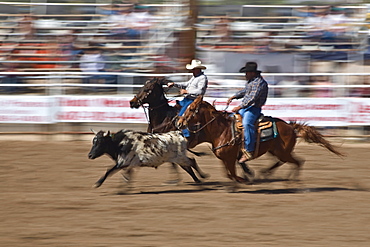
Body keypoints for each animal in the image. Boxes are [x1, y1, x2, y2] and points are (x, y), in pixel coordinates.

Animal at [176, 96, 344, 183]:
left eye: (191, 109)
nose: (179, 123)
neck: (222, 131)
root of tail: (291, 127)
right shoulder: (228, 159)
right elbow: (231, 173)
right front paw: (246, 177)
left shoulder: (230, 158)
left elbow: (233, 173)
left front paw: (245, 179)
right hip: (276, 151)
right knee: (287, 161)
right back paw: (267, 173)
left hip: (282, 152)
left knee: (297, 162)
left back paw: (289, 181)